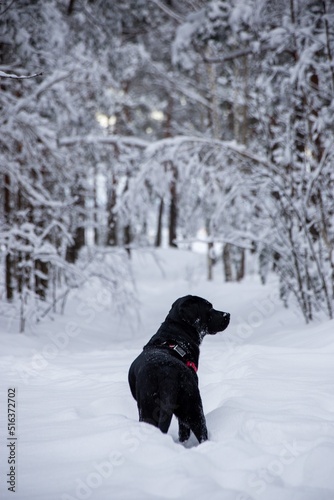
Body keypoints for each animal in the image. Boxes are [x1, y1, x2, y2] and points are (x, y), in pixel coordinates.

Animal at [128, 294, 230, 444]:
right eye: (209, 307)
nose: (227, 314)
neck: (174, 339)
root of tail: (167, 374)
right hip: (192, 406)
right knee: (200, 434)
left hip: (151, 409)